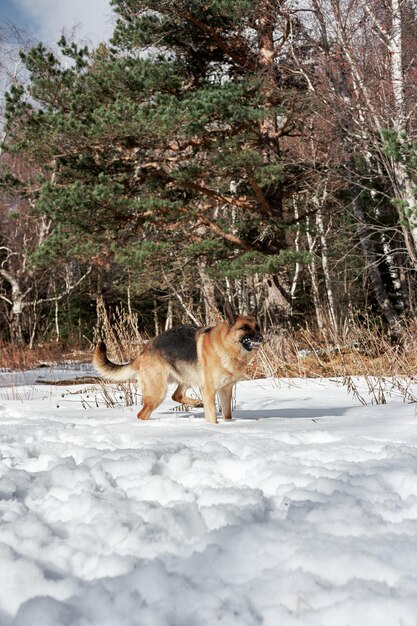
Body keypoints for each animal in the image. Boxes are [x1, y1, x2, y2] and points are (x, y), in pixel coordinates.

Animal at [94, 314, 264, 422]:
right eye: (244, 328)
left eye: (258, 327)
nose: (261, 337)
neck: (226, 345)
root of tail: (143, 351)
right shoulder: (209, 390)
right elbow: (212, 418)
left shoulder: (226, 390)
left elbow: (227, 414)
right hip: (158, 392)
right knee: (143, 414)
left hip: (186, 379)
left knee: (176, 395)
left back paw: (196, 403)